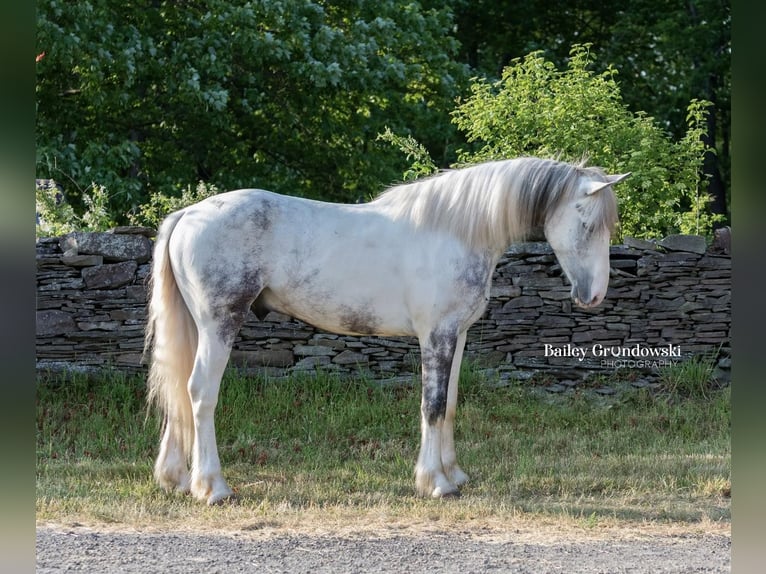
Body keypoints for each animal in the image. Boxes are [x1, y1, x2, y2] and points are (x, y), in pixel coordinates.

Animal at [144, 158, 632, 504]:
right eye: (587, 223)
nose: (593, 296)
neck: (455, 230)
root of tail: (188, 214)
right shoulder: (435, 335)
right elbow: (431, 405)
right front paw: (435, 483)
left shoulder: (457, 336)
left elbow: (450, 403)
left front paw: (454, 474)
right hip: (219, 323)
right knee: (200, 391)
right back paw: (213, 487)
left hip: (196, 327)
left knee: (178, 388)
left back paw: (176, 479)